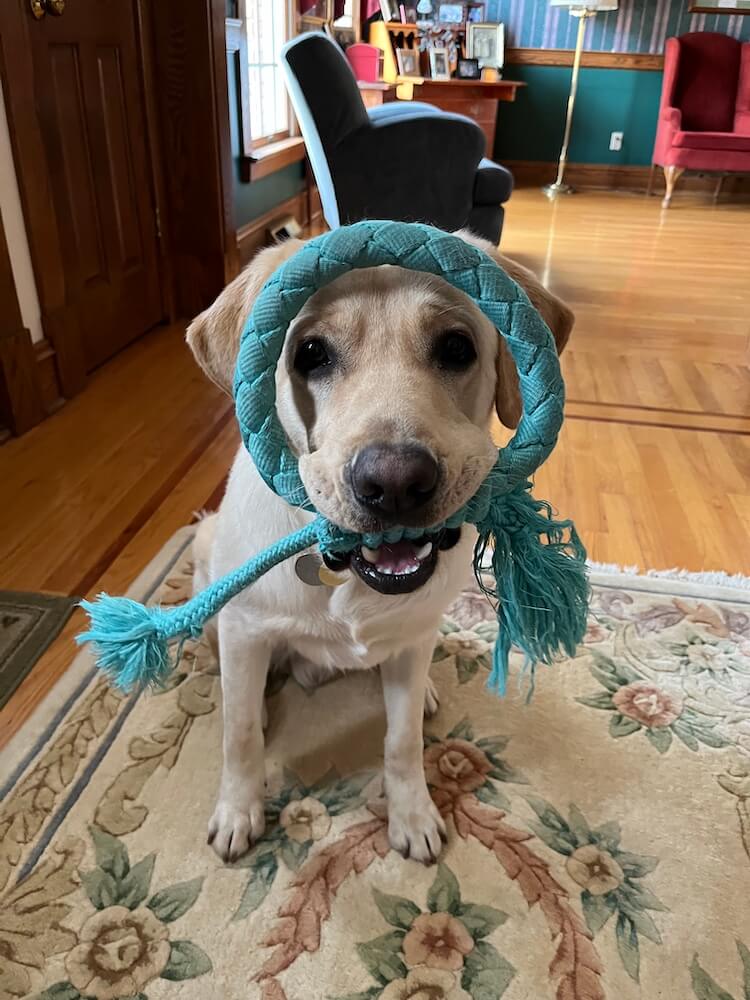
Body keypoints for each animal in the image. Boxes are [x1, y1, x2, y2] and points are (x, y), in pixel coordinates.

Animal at [188, 230, 576, 864]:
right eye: (310, 354)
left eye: (456, 347)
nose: (394, 485)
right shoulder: (246, 627)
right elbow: (238, 734)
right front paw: (237, 811)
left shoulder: (413, 639)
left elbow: (402, 739)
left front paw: (413, 813)